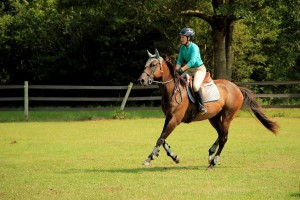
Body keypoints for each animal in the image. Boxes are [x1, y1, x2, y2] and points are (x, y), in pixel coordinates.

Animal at [138, 49, 278, 169]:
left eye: (153, 64)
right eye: (146, 64)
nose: (142, 80)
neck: (174, 90)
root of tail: (237, 88)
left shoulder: (175, 120)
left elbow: (161, 138)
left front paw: (150, 157)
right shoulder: (168, 118)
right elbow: (162, 138)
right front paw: (174, 157)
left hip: (228, 116)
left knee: (224, 137)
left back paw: (214, 162)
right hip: (214, 117)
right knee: (221, 134)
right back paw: (211, 154)